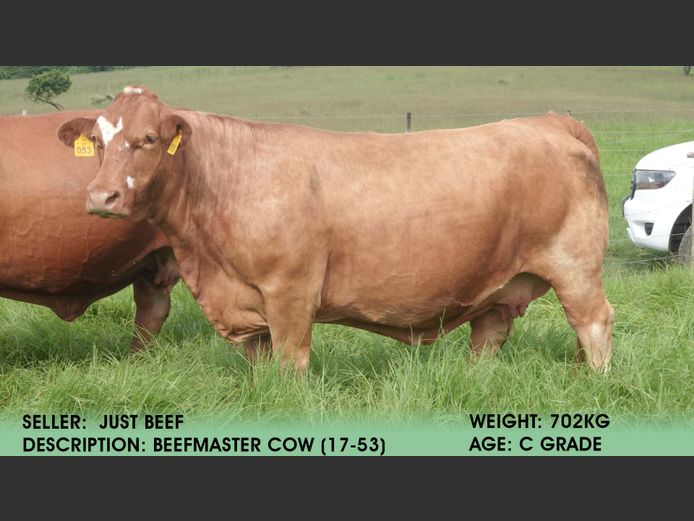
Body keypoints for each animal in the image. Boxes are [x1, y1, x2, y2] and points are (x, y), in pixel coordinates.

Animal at [57, 86, 614, 373]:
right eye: (98, 142)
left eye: (148, 139)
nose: (101, 197)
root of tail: (549, 122)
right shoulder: (247, 300)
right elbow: (261, 366)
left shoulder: (290, 291)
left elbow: (291, 362)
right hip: (499, 283)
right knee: (490, 332)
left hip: (575, 266)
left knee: (593, 323)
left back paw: (598, 382)